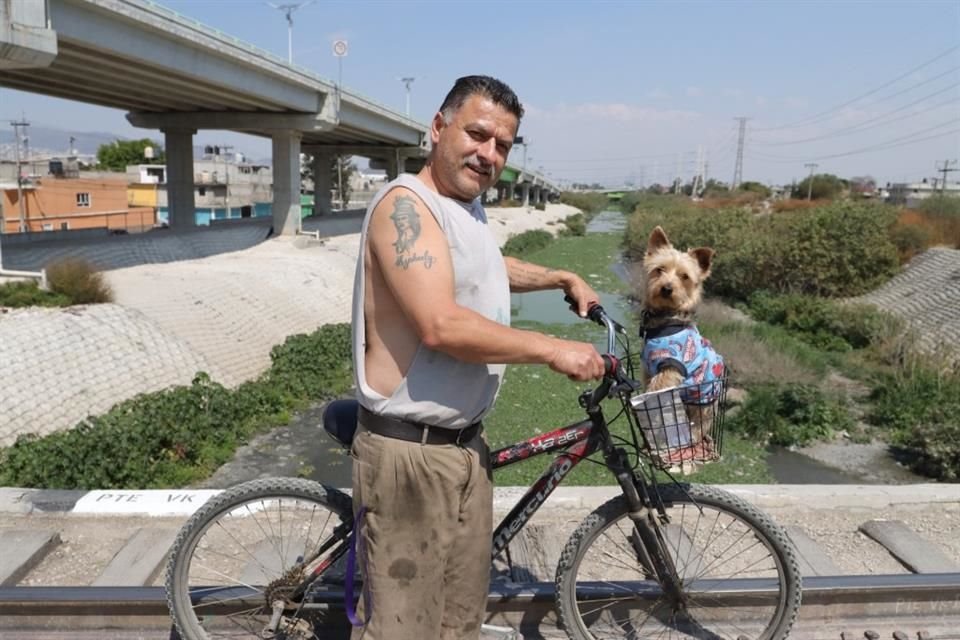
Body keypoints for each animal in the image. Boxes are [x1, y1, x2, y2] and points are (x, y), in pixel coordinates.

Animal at [640, 225, 724, 470]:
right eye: (659, 269)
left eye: (684, 276)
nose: (667, 288)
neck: (667, 318)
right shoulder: (648, 368)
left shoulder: (669, 368)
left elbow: (655, 391)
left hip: (700, 406)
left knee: (695, 429)